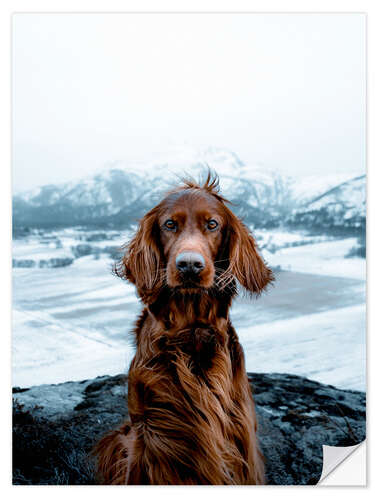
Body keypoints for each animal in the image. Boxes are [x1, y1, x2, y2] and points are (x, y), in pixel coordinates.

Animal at [95, 173, 274, 484]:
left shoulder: (239, 432)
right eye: (170, 224)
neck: (191, 329)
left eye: (212, 224)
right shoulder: (148, 433)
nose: (189, 265)